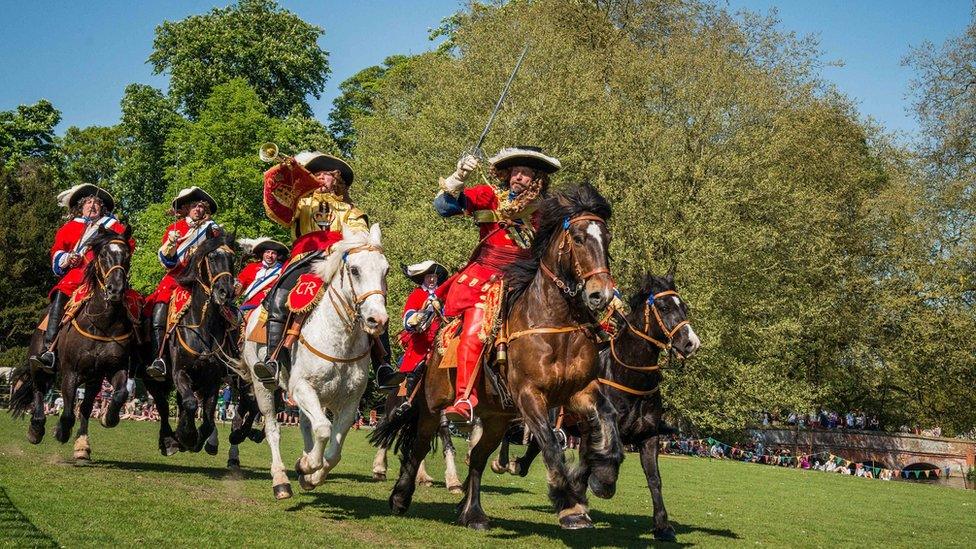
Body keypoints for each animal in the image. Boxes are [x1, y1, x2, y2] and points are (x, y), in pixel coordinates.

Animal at [142, 231, 237, 454]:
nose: (226, 292)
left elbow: (208, 418)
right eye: (212, 257)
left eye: (233, 258)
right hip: (153, 379)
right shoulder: (179, 373)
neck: (202, 329)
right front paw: (187, 436)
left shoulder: (213, 380)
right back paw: (169, 440)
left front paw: (198, 438)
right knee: (163, 406)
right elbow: (191, 403)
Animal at [236, 225, 388, 498]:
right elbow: (324, 429)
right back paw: (281, 481)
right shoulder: (301, 387)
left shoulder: (349, 402)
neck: (339, 340)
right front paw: (307, 465)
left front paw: (311, 473)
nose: (377, 320)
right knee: (273, 429)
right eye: (355, 270)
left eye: (386, 270)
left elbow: (334, 449)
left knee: (306, 426)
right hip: (263, 385)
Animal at [374, 183, 624, 528]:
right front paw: (570, 504)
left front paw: (605, 476)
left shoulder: (580, 391)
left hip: (495, 418)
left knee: (478, 457)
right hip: (432, 407)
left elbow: (609, 420)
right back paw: (401, 496)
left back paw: (473, 513)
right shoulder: (530, 396)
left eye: (607, 238)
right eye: (577, 238)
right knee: (418, 445)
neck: (552, 323)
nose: (601, 294)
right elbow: (550, 443)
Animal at [486, 270, 696, 540]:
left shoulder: (649, 436)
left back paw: (517, 465)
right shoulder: (592, 430)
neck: (629, 375)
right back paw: (503, 463)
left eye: (684, 306)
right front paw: (584, 493)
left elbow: (654, 478)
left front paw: (663, 526)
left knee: (537, 444)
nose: (691, 342)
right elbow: (587, 466)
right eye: (664, 306)